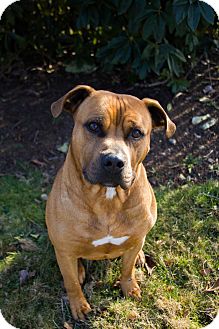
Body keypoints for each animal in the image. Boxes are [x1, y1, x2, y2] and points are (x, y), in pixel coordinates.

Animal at [45, 84, 175, 318]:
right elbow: (71, 282)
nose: (114, 161)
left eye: (136, 133)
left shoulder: (133, 241)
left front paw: (129, 288)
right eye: (93, 126)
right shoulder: (64, 250)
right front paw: (78, 305)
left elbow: (127, 270)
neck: (107, 198)